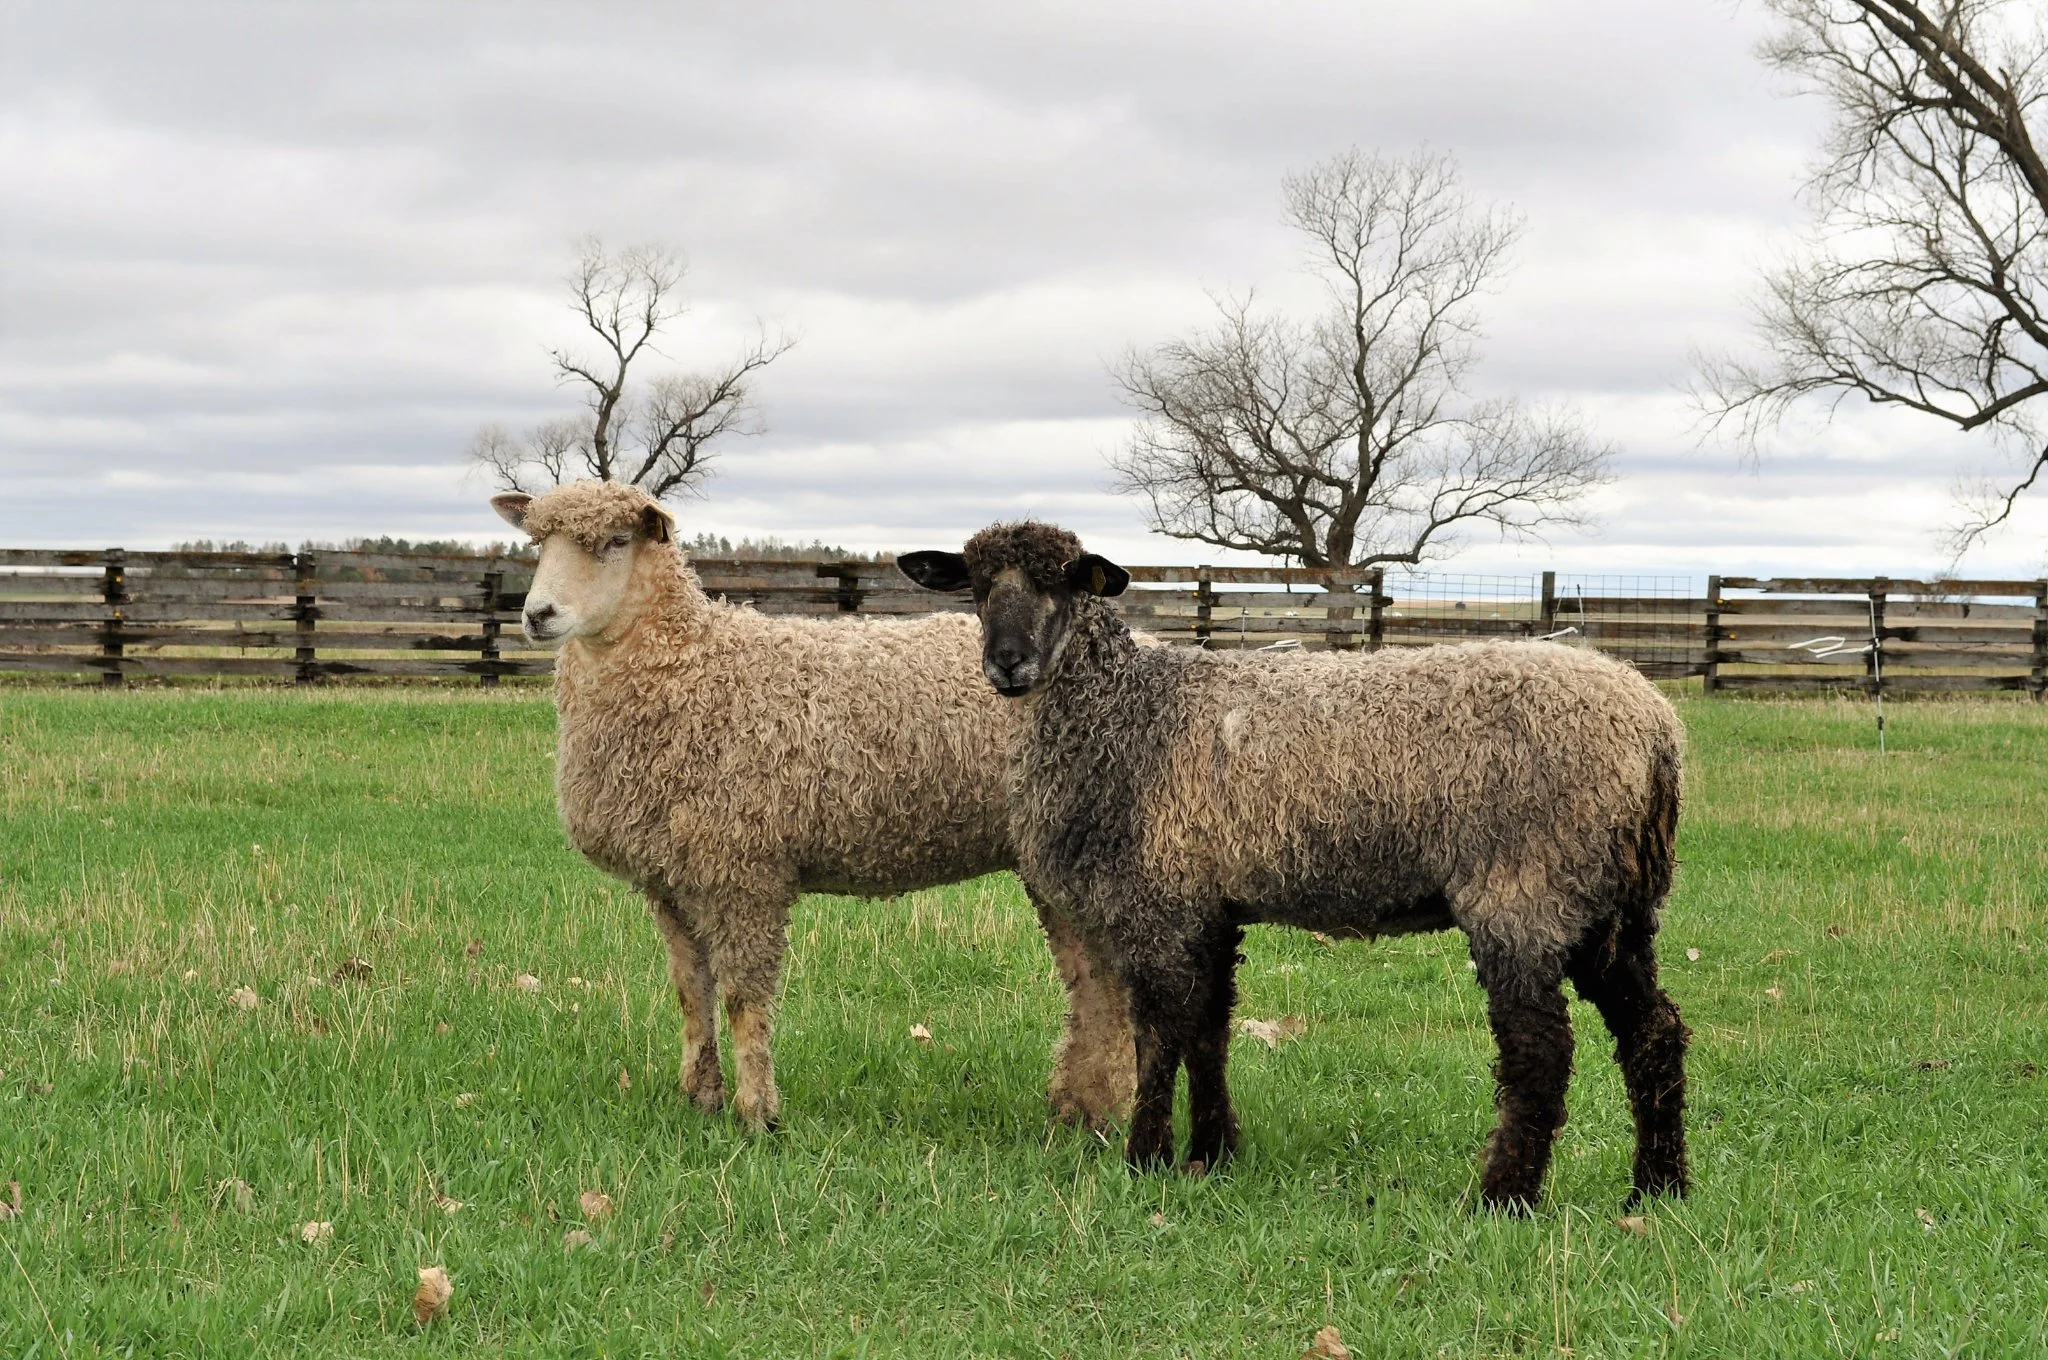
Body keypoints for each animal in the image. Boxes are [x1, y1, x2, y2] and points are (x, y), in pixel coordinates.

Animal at [490, 483, 1134, 1132]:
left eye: (618, 541)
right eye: (539, 542)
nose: (538, 615)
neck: (692, 664)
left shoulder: (744, 873)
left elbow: (743, 998)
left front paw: (756, 1115)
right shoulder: (669, 880)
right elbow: (691, 991)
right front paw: (701, 1097)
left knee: (1109, 982)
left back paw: (1102, 1110)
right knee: (1090, 981)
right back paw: (1079, 1106)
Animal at [900, 521, 1689, 1210]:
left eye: (1060, 581)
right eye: (976, 587)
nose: (1006, 664)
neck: (1132, 713)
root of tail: (1654, 729)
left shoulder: (1160, 899)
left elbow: (1157, 1035)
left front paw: (1145, 1158)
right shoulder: (1209, 905)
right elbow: (1208, 1032)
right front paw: (1211, 1155)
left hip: (1526, 887)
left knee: (1540, 1052)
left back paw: (1504, 1199)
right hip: (1610, 904)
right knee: (1653, 1032)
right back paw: (1658, 1191)